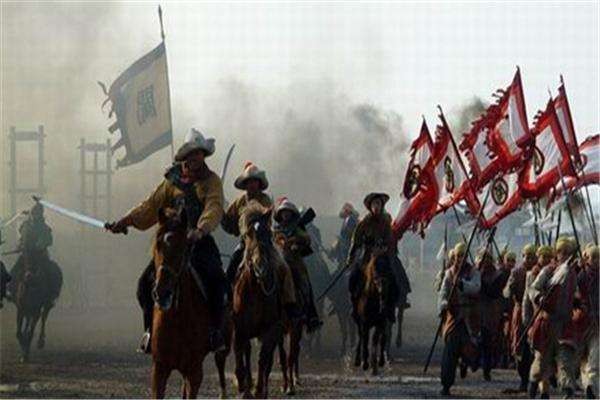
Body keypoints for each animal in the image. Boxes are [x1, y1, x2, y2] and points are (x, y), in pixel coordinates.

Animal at [150, 206, 231, 399]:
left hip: (223, 347)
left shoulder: (194, 372)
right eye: (157, 244)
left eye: (183, 246)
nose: (162, 293)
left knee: (220, 364)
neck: (177, 319)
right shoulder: (159, 369)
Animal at [232, 202, 284, 399]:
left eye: (267, 234)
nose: (260, 266)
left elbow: (263, 360)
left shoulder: (270, 329)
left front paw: (259, 389)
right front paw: (244, 387)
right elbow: (241, 357)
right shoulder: (239, 328)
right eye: (248, 234)